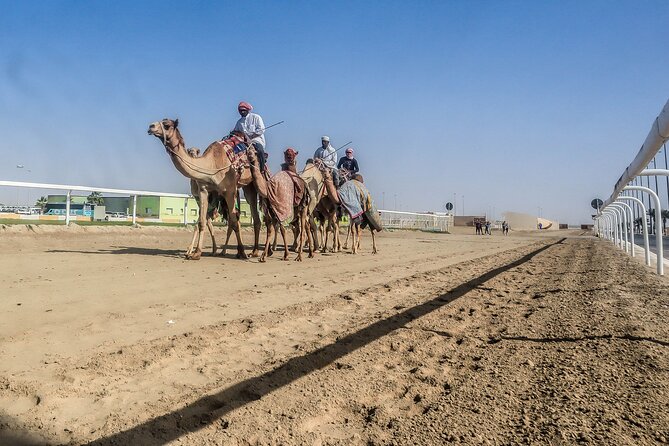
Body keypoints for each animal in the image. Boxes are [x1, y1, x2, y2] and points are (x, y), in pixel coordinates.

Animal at [149, 118, 266, 260]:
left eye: (166, 125)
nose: (151, 126)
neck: (211, 165)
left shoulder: (230, 190)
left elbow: (233, 221)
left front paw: (242, 252)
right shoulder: (204, 191)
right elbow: (201, 222)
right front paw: (196, 253)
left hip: (254, 182)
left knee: (245, 216)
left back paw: (250, 252)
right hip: (247, 187)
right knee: (254, 217)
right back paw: (252, 251)